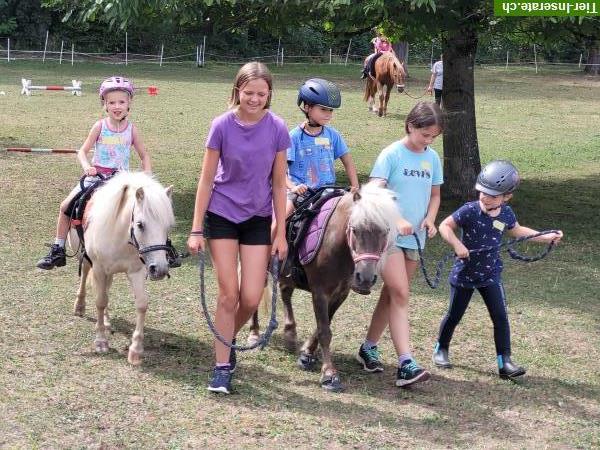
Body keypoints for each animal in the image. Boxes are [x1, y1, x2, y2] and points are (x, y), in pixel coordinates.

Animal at [72, 172, 175, 366]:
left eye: (168, 226)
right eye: (140, 224)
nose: (160, 269)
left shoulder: (137, 272)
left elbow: (141, 304)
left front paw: (136, 350)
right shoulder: (99, 268)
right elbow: (100, 301)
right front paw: (101, 342)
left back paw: (106, 321)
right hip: (88, 258)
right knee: (87, 276)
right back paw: (80, 306)